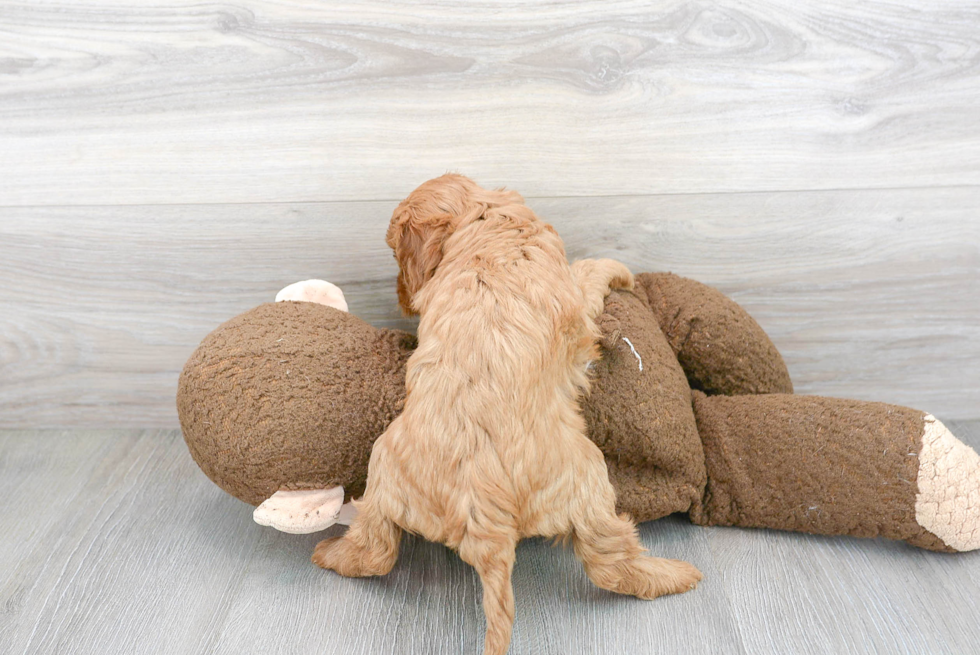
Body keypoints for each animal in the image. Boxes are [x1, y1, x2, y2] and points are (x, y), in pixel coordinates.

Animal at [310, 176, 700, 655]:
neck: (484, 217)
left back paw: (330, 554)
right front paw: (622, 270)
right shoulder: (573, 288)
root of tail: (483, 515)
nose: (402, 298)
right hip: (589, 476)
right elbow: (592, 268)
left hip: (383, 470)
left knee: (375, 550)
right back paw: (675, 575)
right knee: (609, 563)